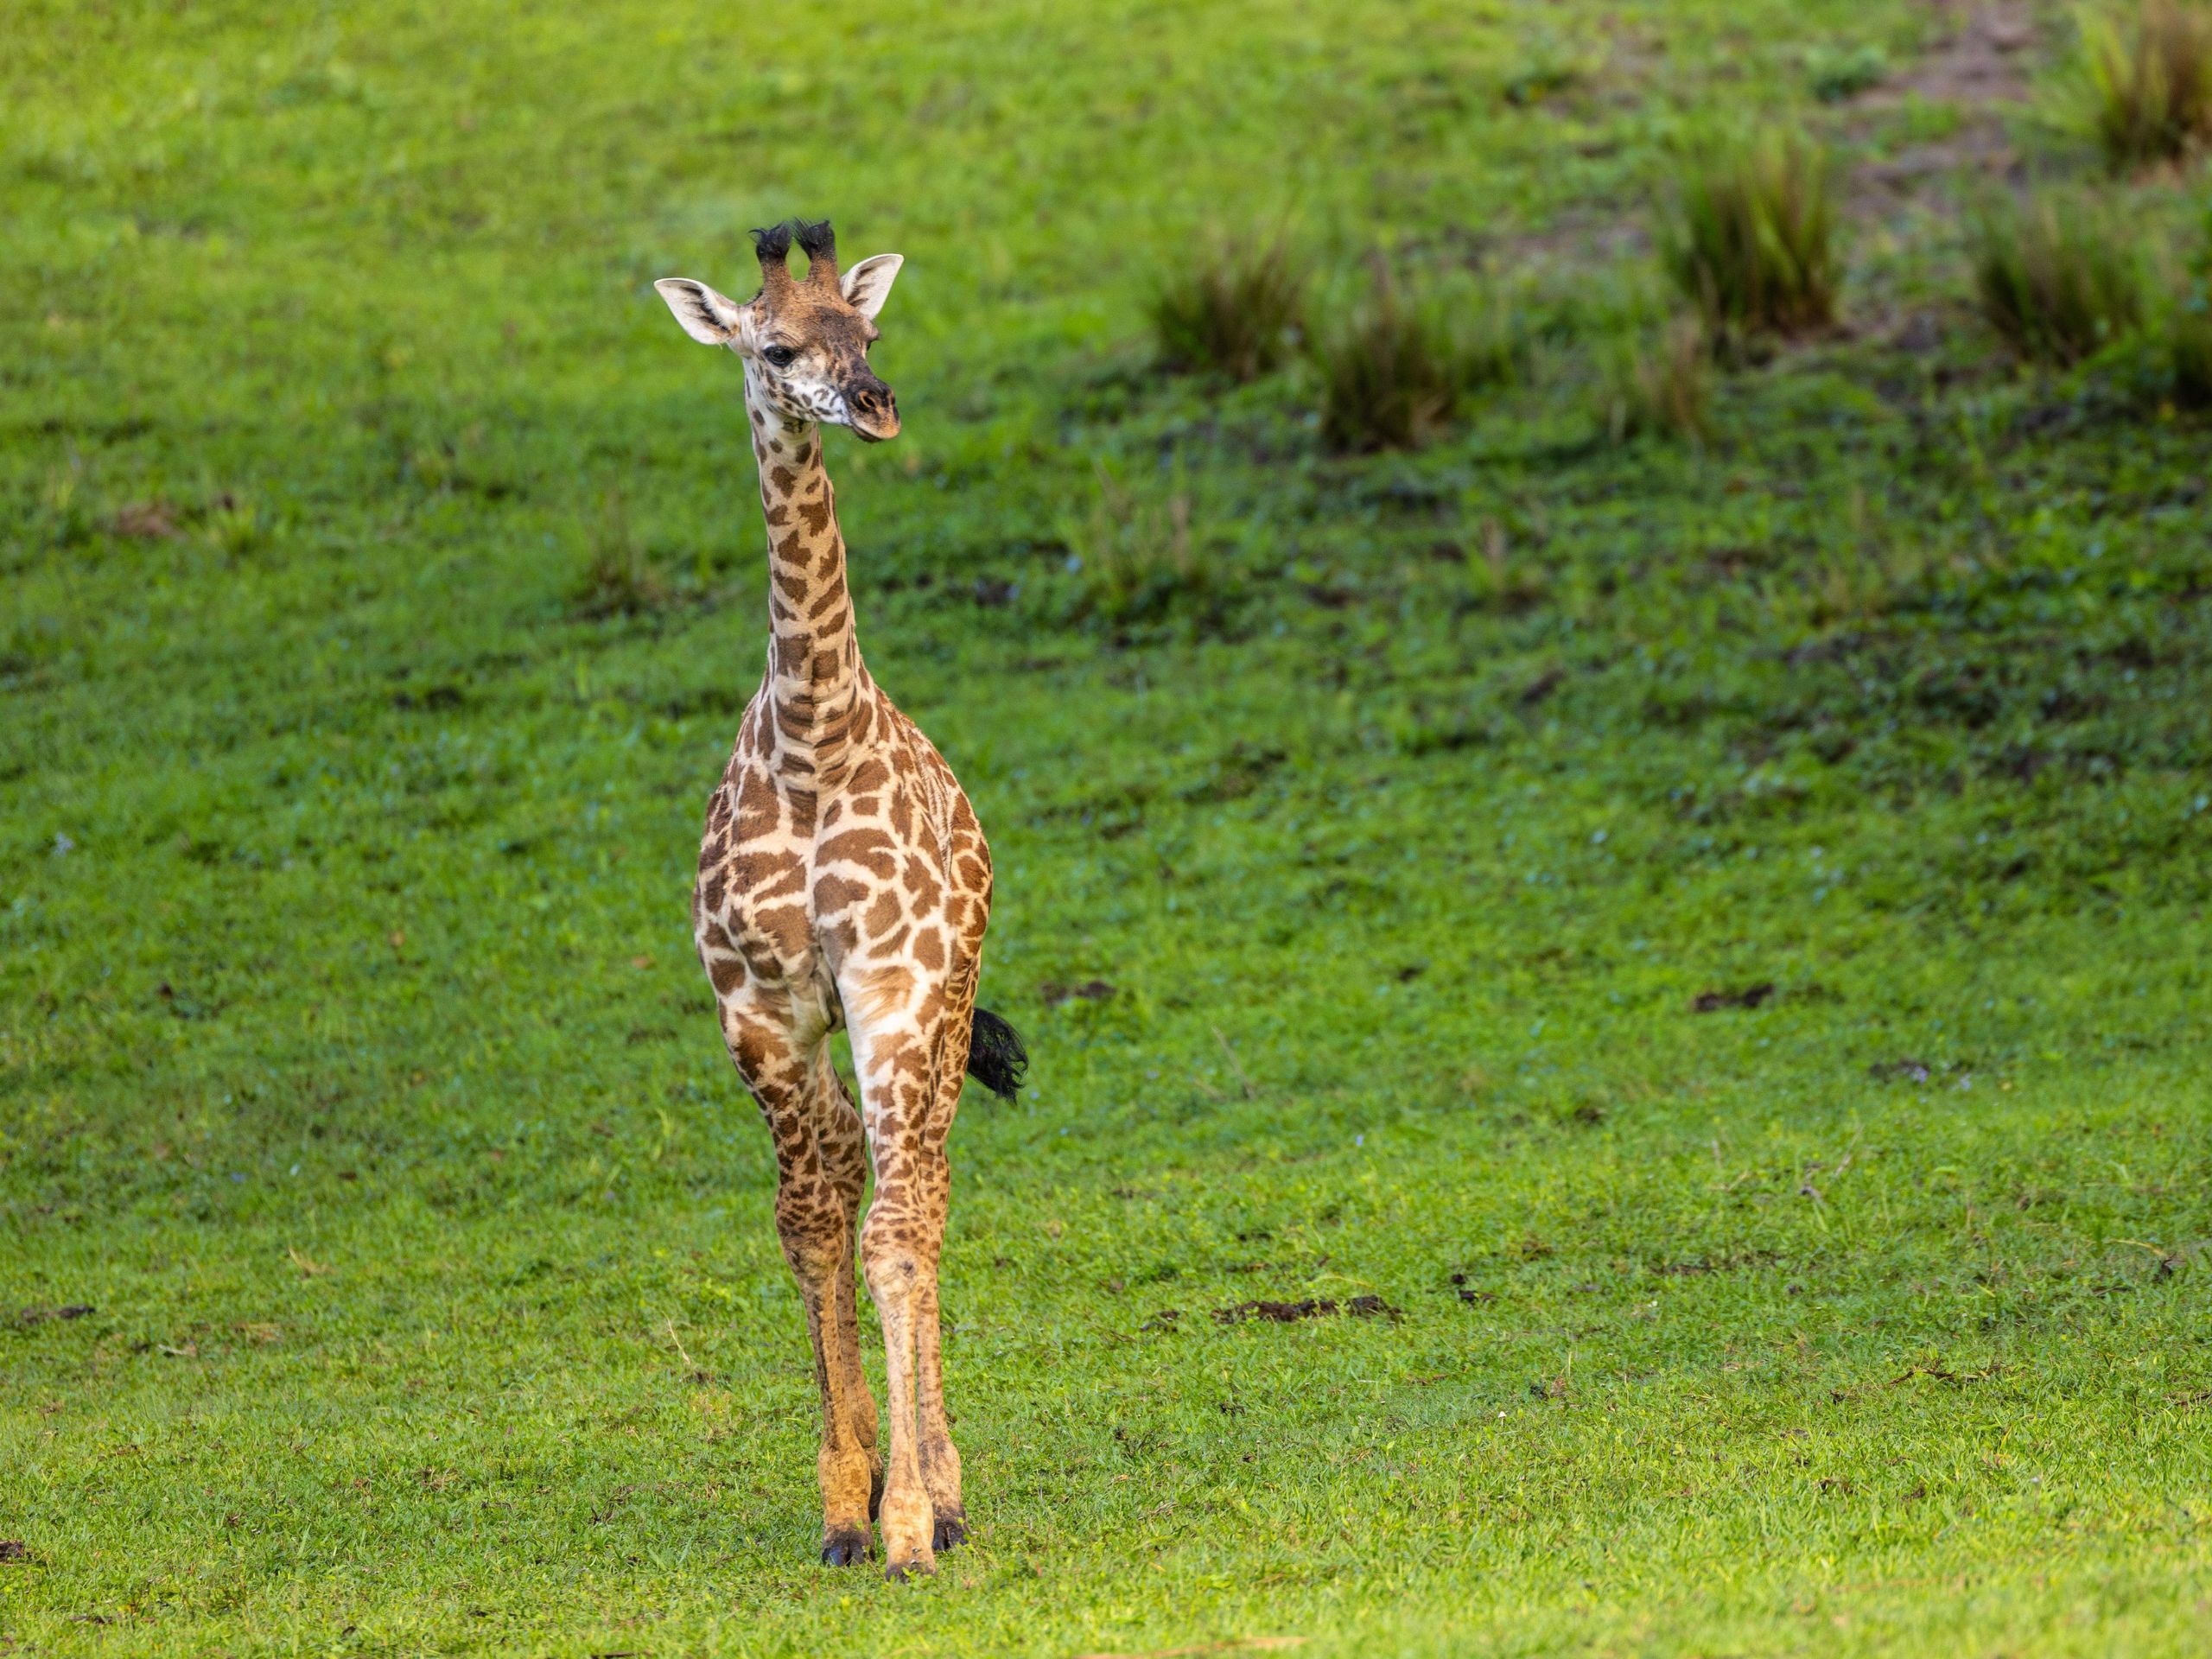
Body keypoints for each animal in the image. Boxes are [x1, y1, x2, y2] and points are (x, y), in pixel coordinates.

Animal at [654, 219, 1027, 1581]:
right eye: (774, 347)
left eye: (867, 332)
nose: (872, 403)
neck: (815, 740)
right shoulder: (761, 1015)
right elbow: (811, 1223)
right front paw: (843, 1503)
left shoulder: (895, 990)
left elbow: (891, 1236)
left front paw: (913, 1517)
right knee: (864, 1191)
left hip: (942, 1008)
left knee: (923, 1196)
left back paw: (948, 1491)